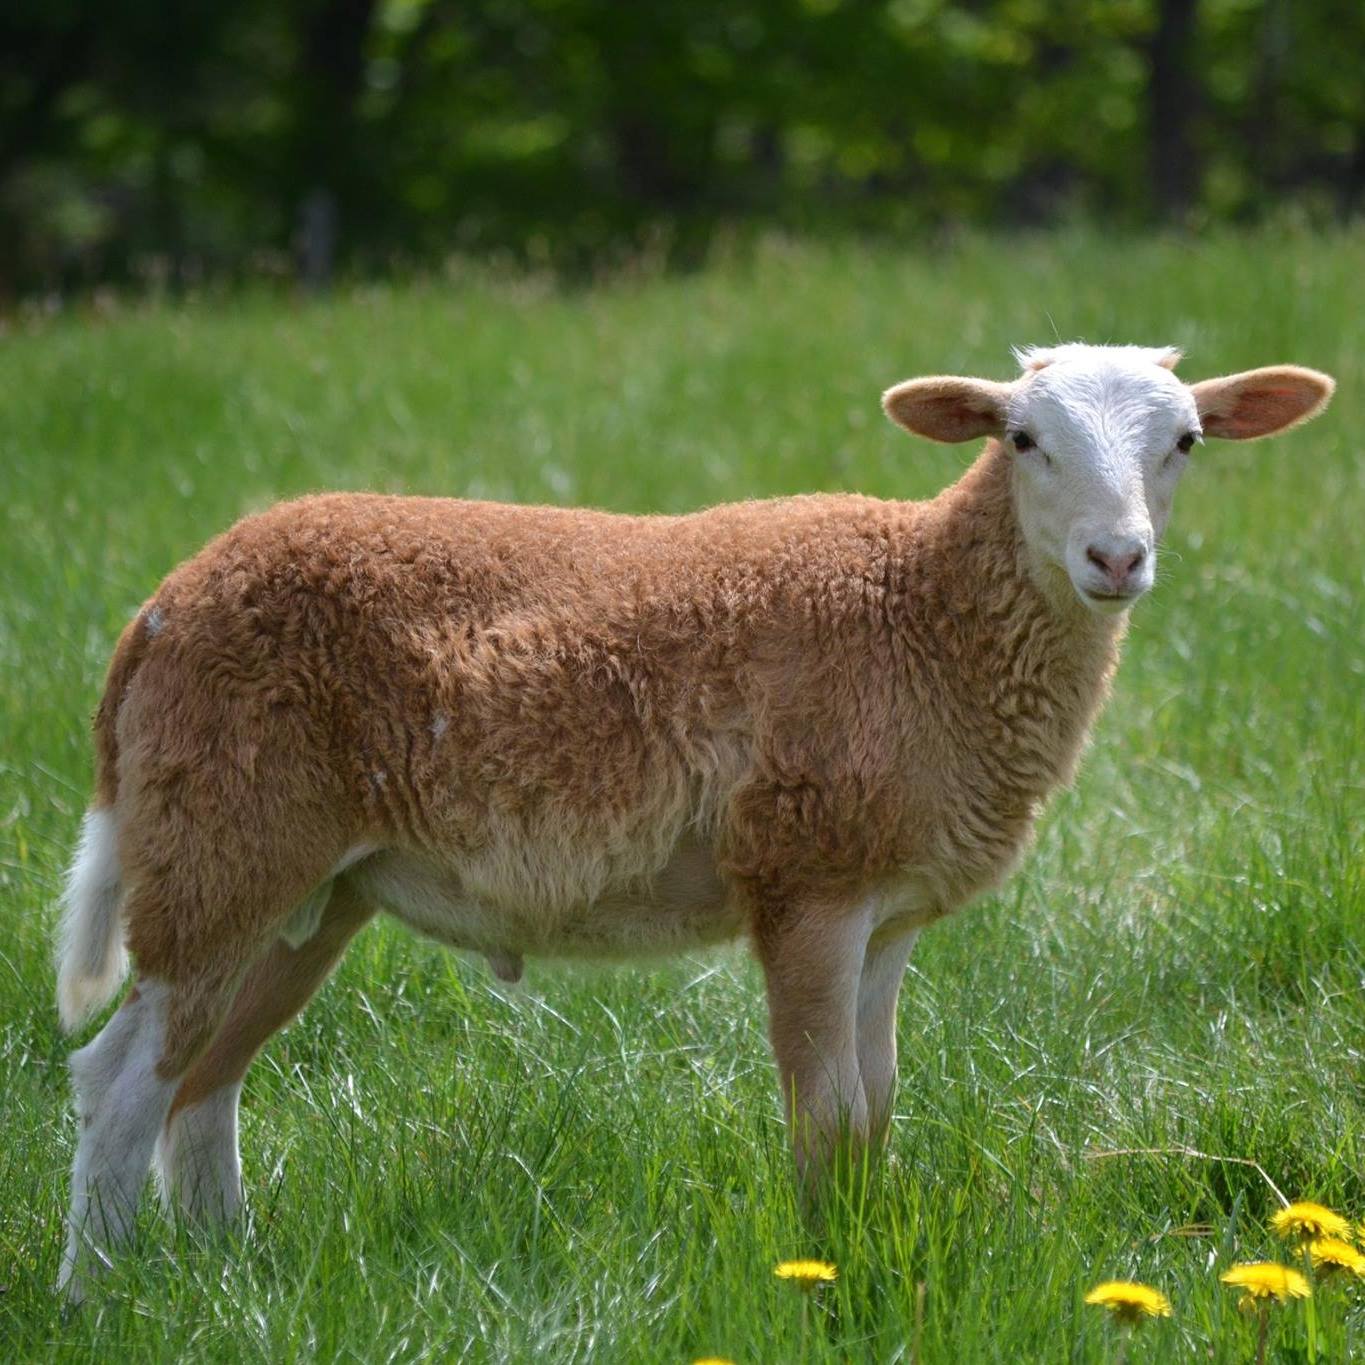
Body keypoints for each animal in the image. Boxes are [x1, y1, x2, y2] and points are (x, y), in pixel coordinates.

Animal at [55, 343, 1334, 1295]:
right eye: (1021, 440)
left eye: (1186, 442)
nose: (1117, 557)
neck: (920, 614)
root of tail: (162, 607)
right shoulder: (807, 878)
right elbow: (825, 1114)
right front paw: (827, 1275)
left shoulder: (890, 908)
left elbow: (875, 1108)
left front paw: (865, 1246)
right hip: (219, 836)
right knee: (116, 1080)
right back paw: (98, 1294)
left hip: (310, 887)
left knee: (203, 1083)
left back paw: (227, 1270)